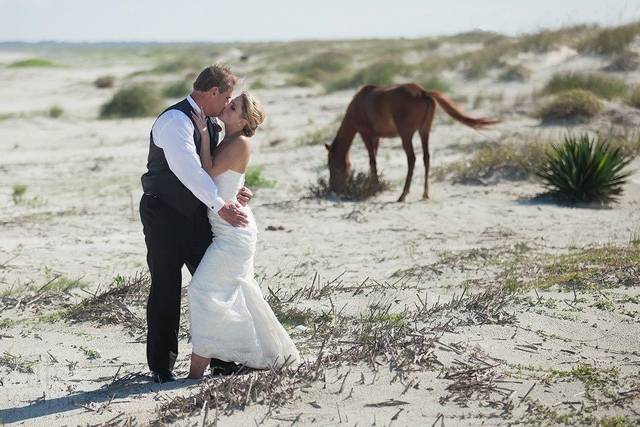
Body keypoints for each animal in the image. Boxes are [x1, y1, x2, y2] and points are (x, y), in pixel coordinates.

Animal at [324, 84, 500, 203]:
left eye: (332, 165)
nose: (333, 188)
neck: (357, 105)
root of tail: (423, 92)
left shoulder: (366, 135)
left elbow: (372, 161)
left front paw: (374, 187)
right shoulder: (376, 138)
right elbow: (374, 161)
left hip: (406, 135)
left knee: (412, 159)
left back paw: (403, 195)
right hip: (424, 131)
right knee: (426, 157)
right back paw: (425, 193)